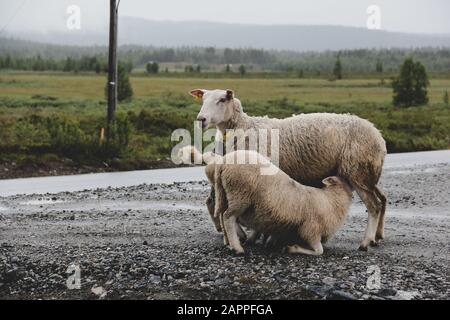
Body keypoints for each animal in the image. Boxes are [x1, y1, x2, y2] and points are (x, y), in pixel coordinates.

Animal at [205, 150, 356, 255]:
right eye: (346, 180)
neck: (331, 200)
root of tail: (224, 162)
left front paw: (269, 242)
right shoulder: (310, 230)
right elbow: (319, 251)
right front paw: (291, 248)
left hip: (224, 193)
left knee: (222, 215)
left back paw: (229, 243)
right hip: (240, 194)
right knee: (228, 217)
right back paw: (237, 248)